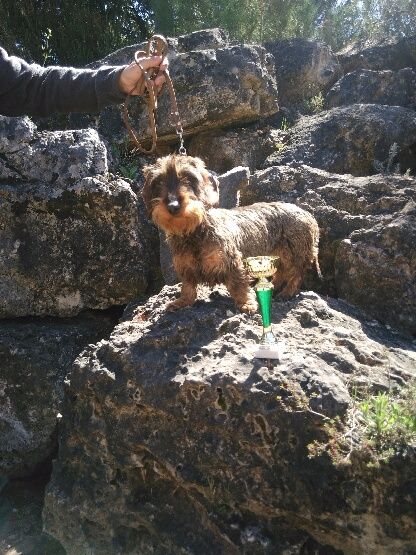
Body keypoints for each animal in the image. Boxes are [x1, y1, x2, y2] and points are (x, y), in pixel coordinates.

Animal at [141, 154, 320, 314]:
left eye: (189, 178)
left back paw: (287, 292)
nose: (173, 206)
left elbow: (238, 284)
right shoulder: (186, 267)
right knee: (282, 272)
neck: (195, 232)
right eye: (158, 182)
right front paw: (182, 302)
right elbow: (188, 287)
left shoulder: (232, 262)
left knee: (296, 273)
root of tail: (308, 214)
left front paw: (246, 303)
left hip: (296, 253)